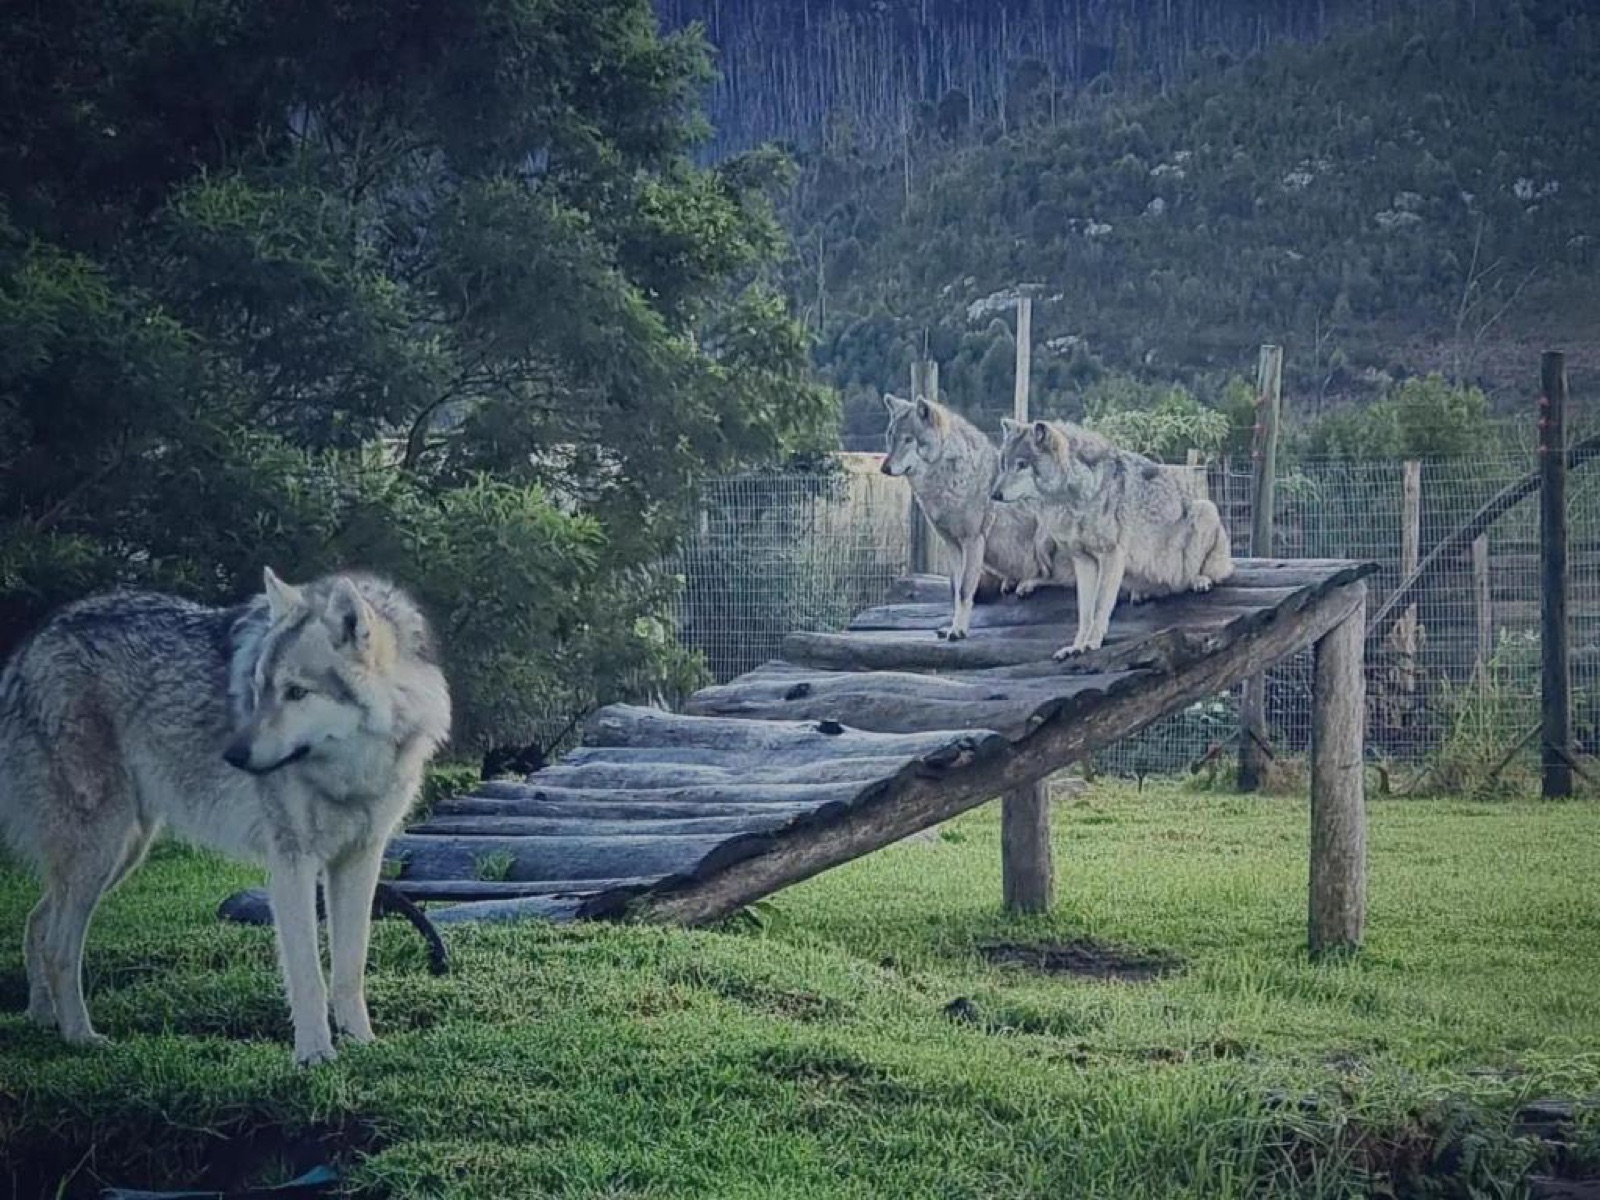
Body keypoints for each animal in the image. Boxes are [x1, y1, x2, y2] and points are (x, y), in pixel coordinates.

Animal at [0, 568, 451, 1065]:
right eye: (259, 689)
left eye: (296, 692)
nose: (233, 755)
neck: (350, 774)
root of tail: (28, 650)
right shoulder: (292, 862)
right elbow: (307, 975)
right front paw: (314, 1054)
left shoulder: (360, 860)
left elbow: (350, 967)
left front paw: (361, 1043)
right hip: (102, 851)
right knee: (58, 947)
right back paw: (80, 1037)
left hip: (119, 855)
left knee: (36, 923)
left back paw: (44, 1020)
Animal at [880, 393, 1058, 639]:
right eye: (891, 437)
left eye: (909, 440)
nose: (884, 468)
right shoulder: (953, 545)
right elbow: (956, 592)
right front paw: (952, 627)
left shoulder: (973, 540)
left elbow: (964, 591)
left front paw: (958, 631)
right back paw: (1012, 581)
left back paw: (1027, 583)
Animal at [992, 418, 1234, 658]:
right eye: (1004, 464)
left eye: (1022, 465)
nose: (994, 495)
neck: (1074, 498)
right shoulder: (1083, 561)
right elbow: (1085, 613)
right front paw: (1076, 646)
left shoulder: (1110, 555)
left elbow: (1099, 607)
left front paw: (1091, 643)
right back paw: (1141, 593)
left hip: (1205, 509)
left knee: (1199, 576)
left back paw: (1199, 580)